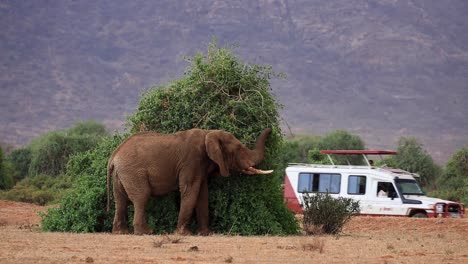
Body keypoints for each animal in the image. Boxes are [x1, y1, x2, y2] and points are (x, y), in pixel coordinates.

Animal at [106, 127, 272, 235]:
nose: (270, 129)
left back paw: (121, 232)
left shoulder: (201, 165)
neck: (208, 133)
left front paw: (206, 234)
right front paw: (184, 234)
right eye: (239, 148)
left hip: (120, 174)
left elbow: (202, 194)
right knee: (141, 197)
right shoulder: (191, 161)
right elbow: (190, 190)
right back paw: (145, 232)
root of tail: (114, 156)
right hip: (133, 172)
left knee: (120, 200)